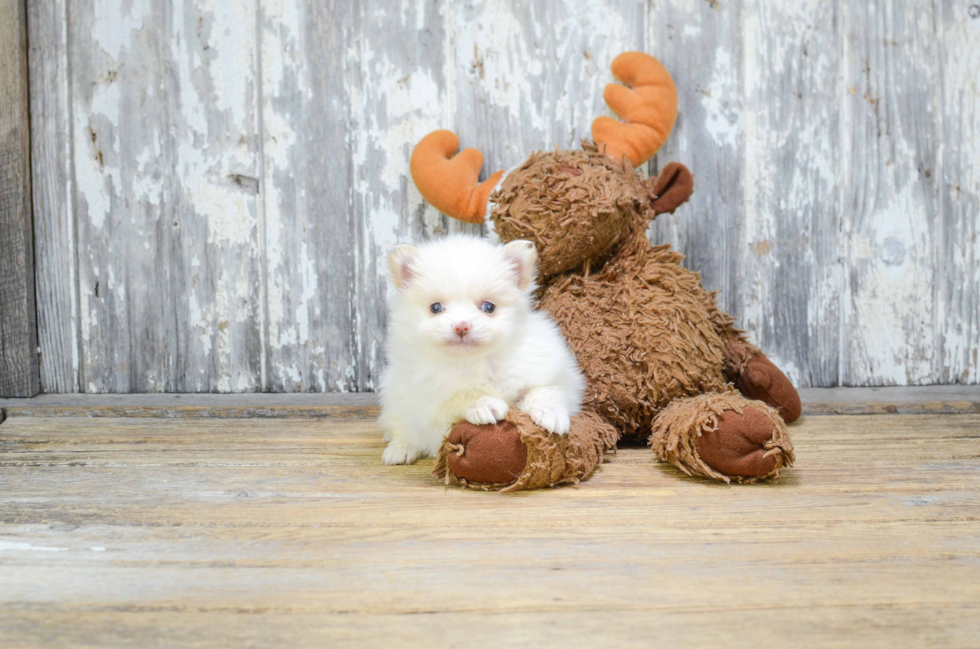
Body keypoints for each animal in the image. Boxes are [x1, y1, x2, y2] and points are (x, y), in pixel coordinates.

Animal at [380, 235, 584, 464]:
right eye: (436, 308)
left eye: (488, 307)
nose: (461, 326)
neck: (476, 360)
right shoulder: (430, 402)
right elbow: (459, 396)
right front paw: (484, 404)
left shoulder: (553, 375)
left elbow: (546, 390)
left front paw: (550, 413)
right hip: (395, 400)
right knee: (401, 428)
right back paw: (400, 449)